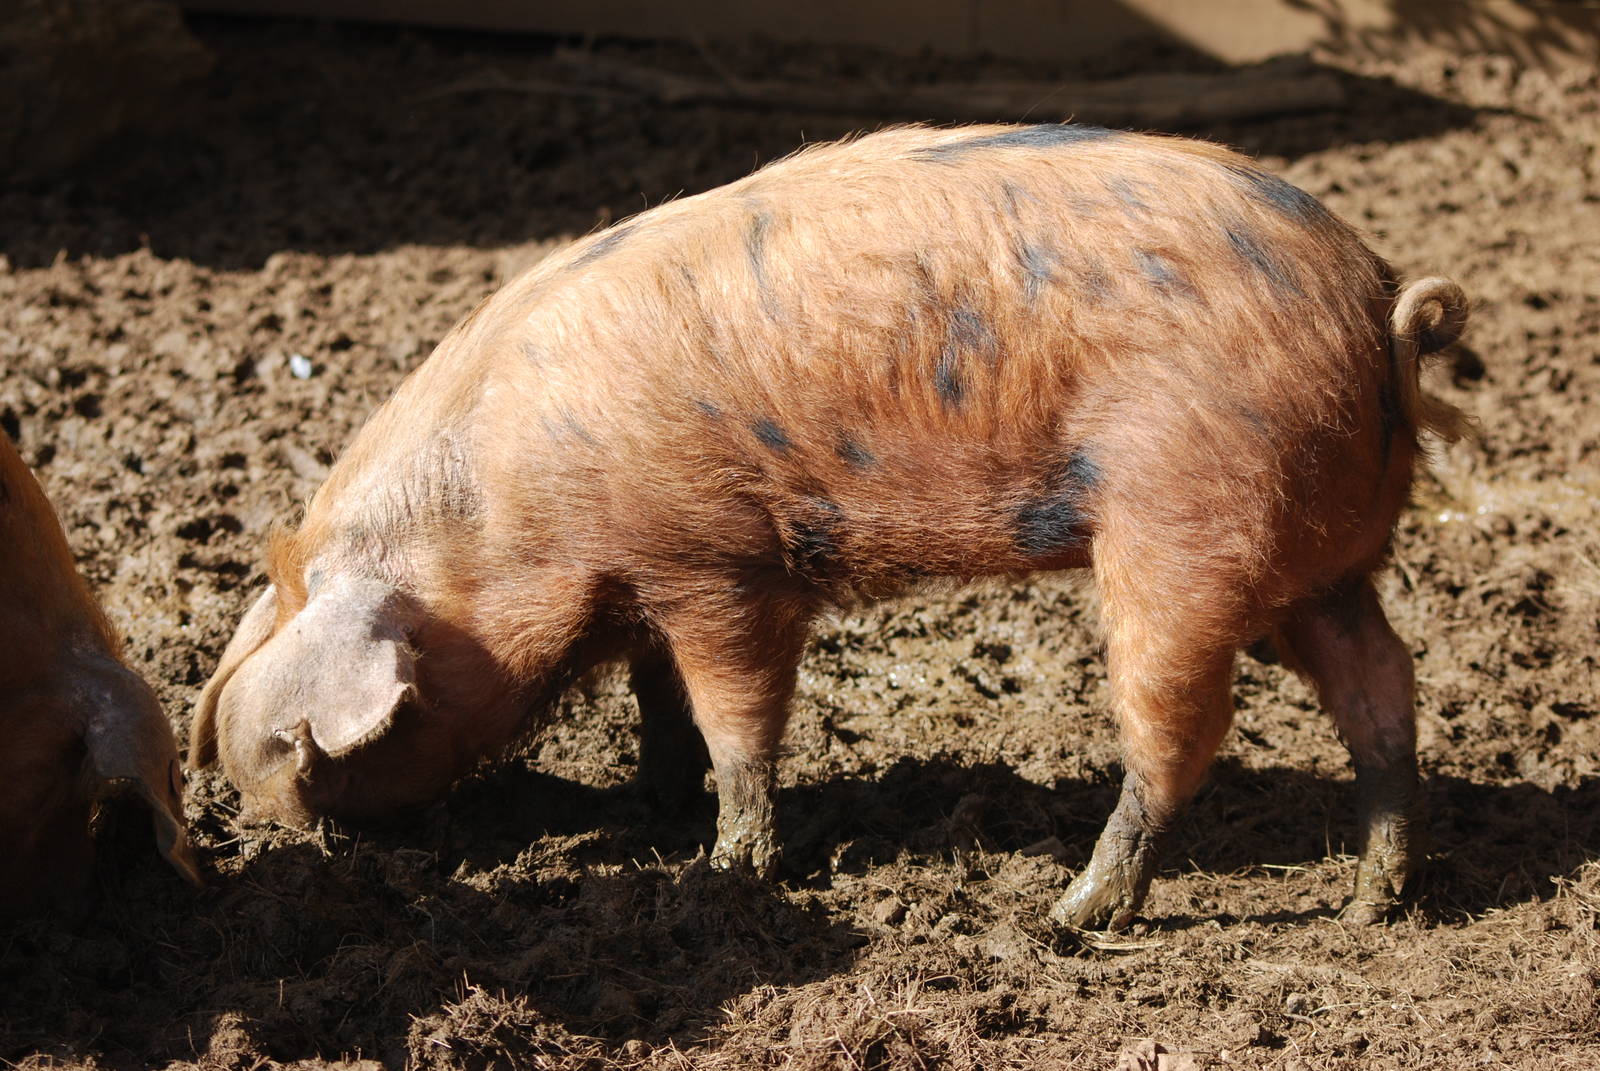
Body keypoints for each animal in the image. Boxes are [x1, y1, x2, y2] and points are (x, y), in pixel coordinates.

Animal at [190, 123, 1468, 929]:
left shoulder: (720, 565)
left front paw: (729, 869)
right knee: (1383, 684)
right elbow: (662, 703)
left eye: (312, 764)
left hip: (1183, 532)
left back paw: (1066, 917)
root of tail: (1380, 306)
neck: (505, 511)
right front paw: (656, 808)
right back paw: (1374, 903)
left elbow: (736, 719)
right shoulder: (650, 581)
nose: (295, 846)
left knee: (1178, 730)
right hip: (1320, 557)